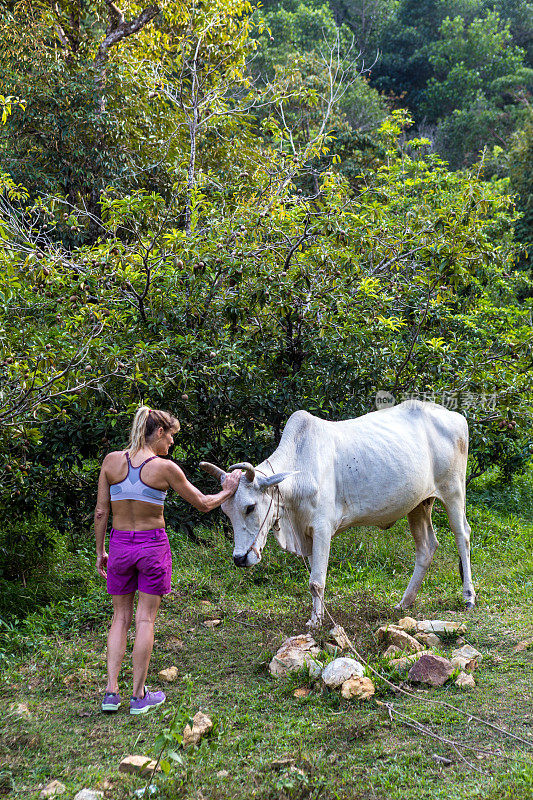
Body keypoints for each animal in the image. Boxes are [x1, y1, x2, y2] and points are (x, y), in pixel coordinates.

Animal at [200, 400, 474, 624]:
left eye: (250, 507)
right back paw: (404, 602)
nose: (239, 558)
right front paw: (317, 617)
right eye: (226, 511)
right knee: (426, 547)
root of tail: (455, 416)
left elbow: (316, 582)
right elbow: (315, 580)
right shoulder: (308, 535)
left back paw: (468, 597)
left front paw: (316, 624)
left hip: (454, 491)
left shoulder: (322, 529)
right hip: (419, 504)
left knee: (463, 535)